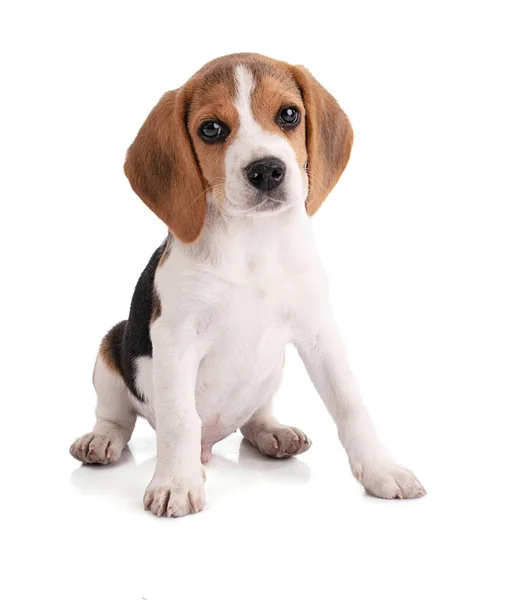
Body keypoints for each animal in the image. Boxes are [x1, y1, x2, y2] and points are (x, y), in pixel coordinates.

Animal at [69, 54, 424, 516]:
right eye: (211, 129)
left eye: (289, 114)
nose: (267, 170)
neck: (254, 241)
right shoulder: (176, 337)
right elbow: (180, 419)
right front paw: (176, 483)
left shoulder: (319, 333)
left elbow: (350, 405)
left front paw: (382, 469)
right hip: (112, 347)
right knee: (118, 415)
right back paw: (101, 439)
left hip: (272, 370)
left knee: (255, 415)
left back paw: (272, 432)